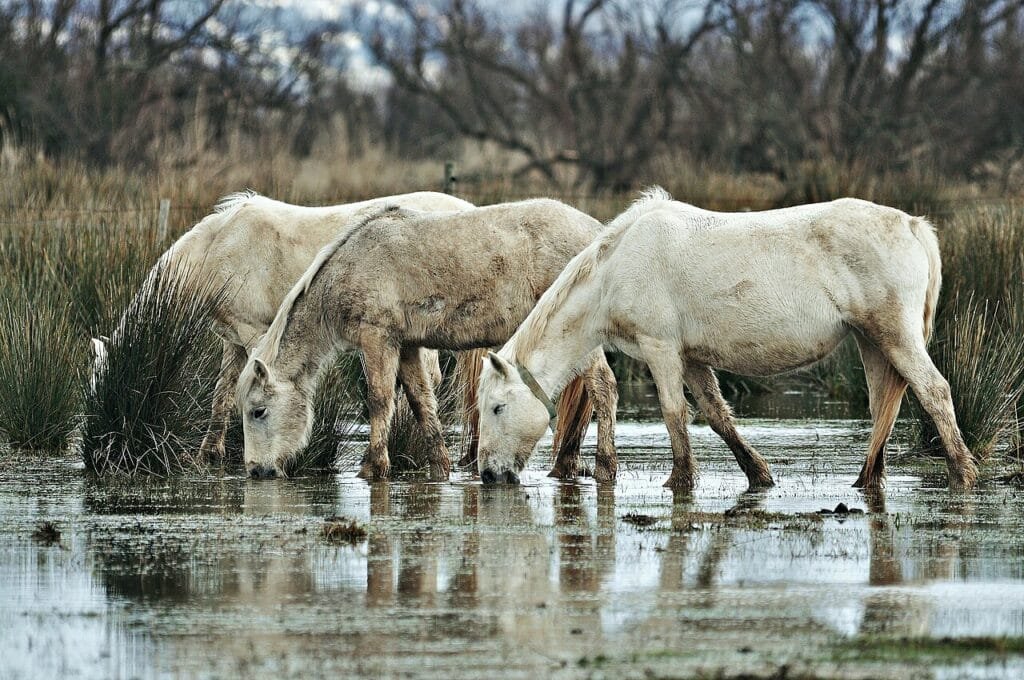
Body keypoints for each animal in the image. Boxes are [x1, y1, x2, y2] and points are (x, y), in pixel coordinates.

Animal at [90, 191, 473, 459]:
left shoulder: (255, 335)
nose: (96, 442)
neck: (217, 247)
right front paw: (208, 454)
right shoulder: (232, 340)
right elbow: (221, 396)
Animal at [235, 199, 619, 481]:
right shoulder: (407, 346)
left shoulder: (378, 340)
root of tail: (598, 232)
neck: (351, 267)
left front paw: (372, 467)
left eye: (258, 411)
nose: (256, 471)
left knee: (603, 387)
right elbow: (421, 403)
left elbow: (379, 400)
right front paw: (440, 466)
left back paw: (604, 467)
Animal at [477, 188, 978, 491]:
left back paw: (963, 472)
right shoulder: (692, 358)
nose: (488, 475)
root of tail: (913, 224)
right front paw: (759, 475)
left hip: (895, 336)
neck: (615, 268)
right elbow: (717, 416)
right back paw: (866, 480)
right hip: (872, 342)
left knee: (934, 392)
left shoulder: (661, 349)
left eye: (497, 408)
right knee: (882, 407)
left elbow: (674, 415)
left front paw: (680, 481)